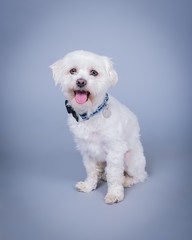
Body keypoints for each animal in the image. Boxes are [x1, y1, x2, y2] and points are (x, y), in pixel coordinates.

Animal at [50, 49, 148, 203]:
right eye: (73, 70)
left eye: (94, 72)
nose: (81, 81)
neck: (90, 114)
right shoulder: (87, 150)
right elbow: (91, 170)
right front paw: (89, 185)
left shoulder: (115, 151)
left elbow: (114, 175)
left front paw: (114, 194)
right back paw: (103, 176)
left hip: (131, 160)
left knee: (140, 175)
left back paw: (126, 180)